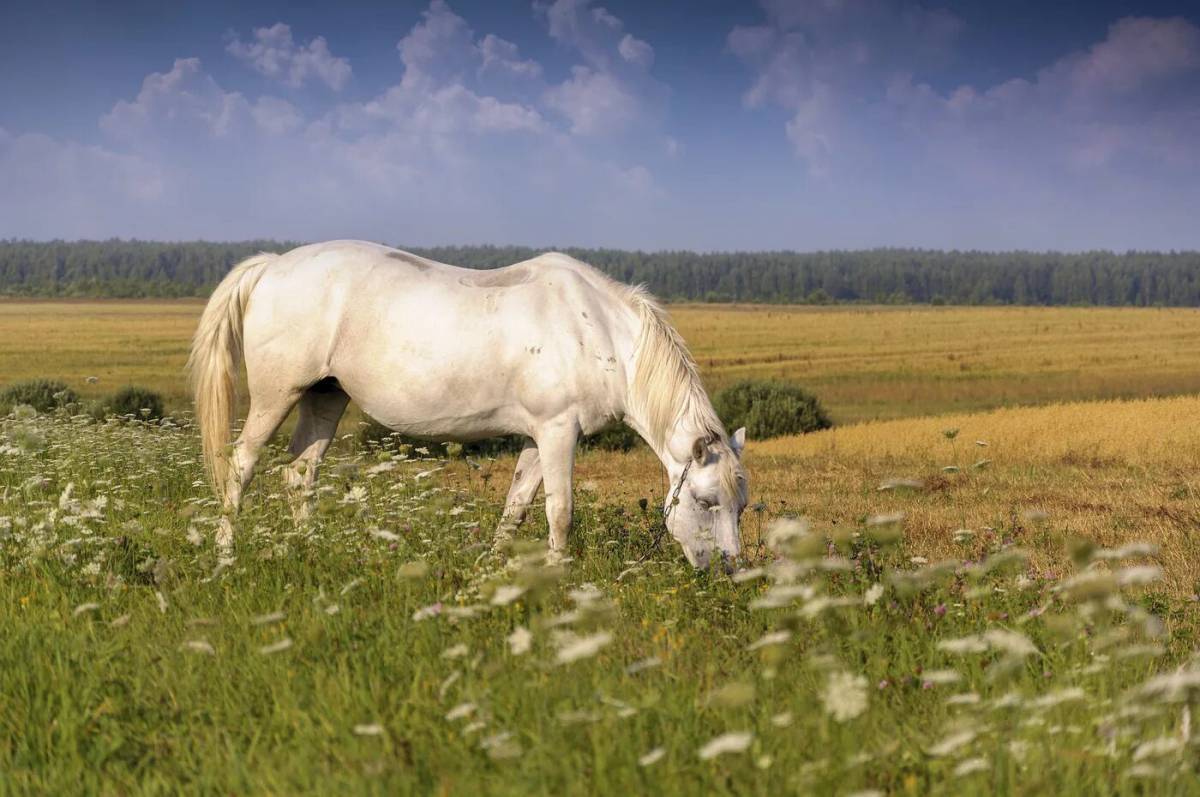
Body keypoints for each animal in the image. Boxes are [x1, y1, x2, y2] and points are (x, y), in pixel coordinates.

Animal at [184, 241, 748, 566]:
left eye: (742, 505)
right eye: (705, 502)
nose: (727, 569)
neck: (596, 329)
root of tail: (272, 266)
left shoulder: (536, 438)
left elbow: (516, 507)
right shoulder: (557, 434)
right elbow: (560, 512)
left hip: (325, 397)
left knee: (300, 474)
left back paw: (309, 550)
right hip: (275, 396)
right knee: (241, 466)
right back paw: (225, 556)